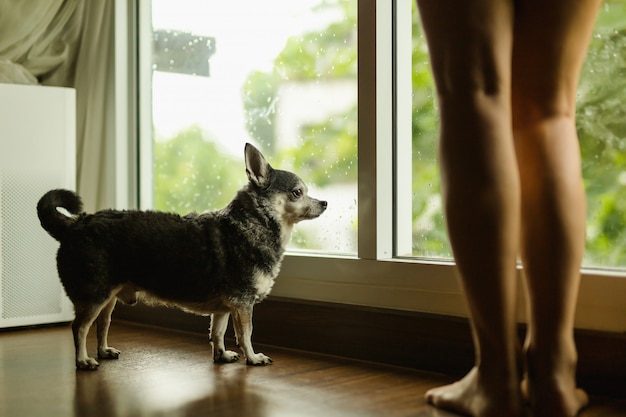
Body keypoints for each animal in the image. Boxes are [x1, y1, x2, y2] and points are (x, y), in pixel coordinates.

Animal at [37, 142, 326, 368]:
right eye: (298, 192)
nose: (324, 203)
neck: (255, 222)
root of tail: (75, 224)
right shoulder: (242, 303)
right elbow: (246, 334)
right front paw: (253, 358)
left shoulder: (225, 307)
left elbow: (218, 332)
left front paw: (221, 356)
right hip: (94, 297)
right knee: (79, 327)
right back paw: (83, 361)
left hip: (107, 299)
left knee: (102, 325)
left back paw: (103, 351)